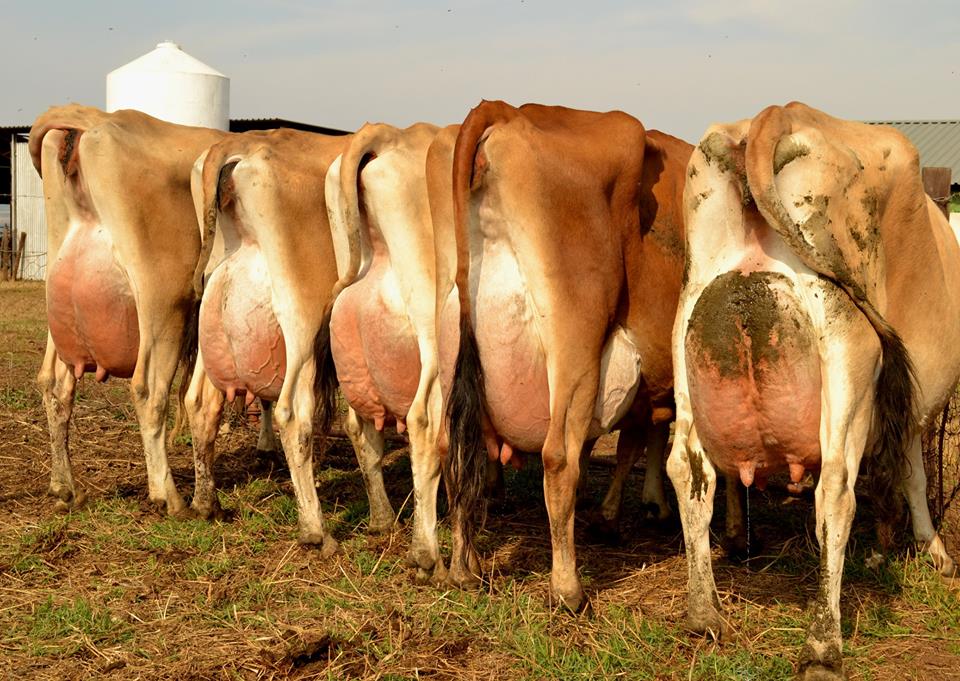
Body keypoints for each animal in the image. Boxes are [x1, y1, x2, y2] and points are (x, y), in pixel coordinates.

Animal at [27, 105, 266, 515]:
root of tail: (98, 121)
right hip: (164, 300)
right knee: (148, 389)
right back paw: (168, 495)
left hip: (60, 300)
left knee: (53, 384)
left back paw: (64, 486)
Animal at [185, 129, 355, 555]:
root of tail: (240, 146)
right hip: (302, 318)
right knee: (293, 414)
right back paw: (315, 530)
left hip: (213, 310)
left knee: (200, 402)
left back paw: (206, 503)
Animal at [444, 101, 692, 607]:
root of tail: (508, 112)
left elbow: (639, 438)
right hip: (576, 342)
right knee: (559, 458)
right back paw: (567, 587)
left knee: (462, 449)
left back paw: (464, 567)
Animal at [667, 101, 959, 679]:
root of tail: (776, 114)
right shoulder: (905, 407)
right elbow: (912, 473)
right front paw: (929, 550)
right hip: (849, 350)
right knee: (836, 492)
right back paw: (823, 647)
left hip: (688, 329)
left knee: (687, 470)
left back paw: (703, 614)